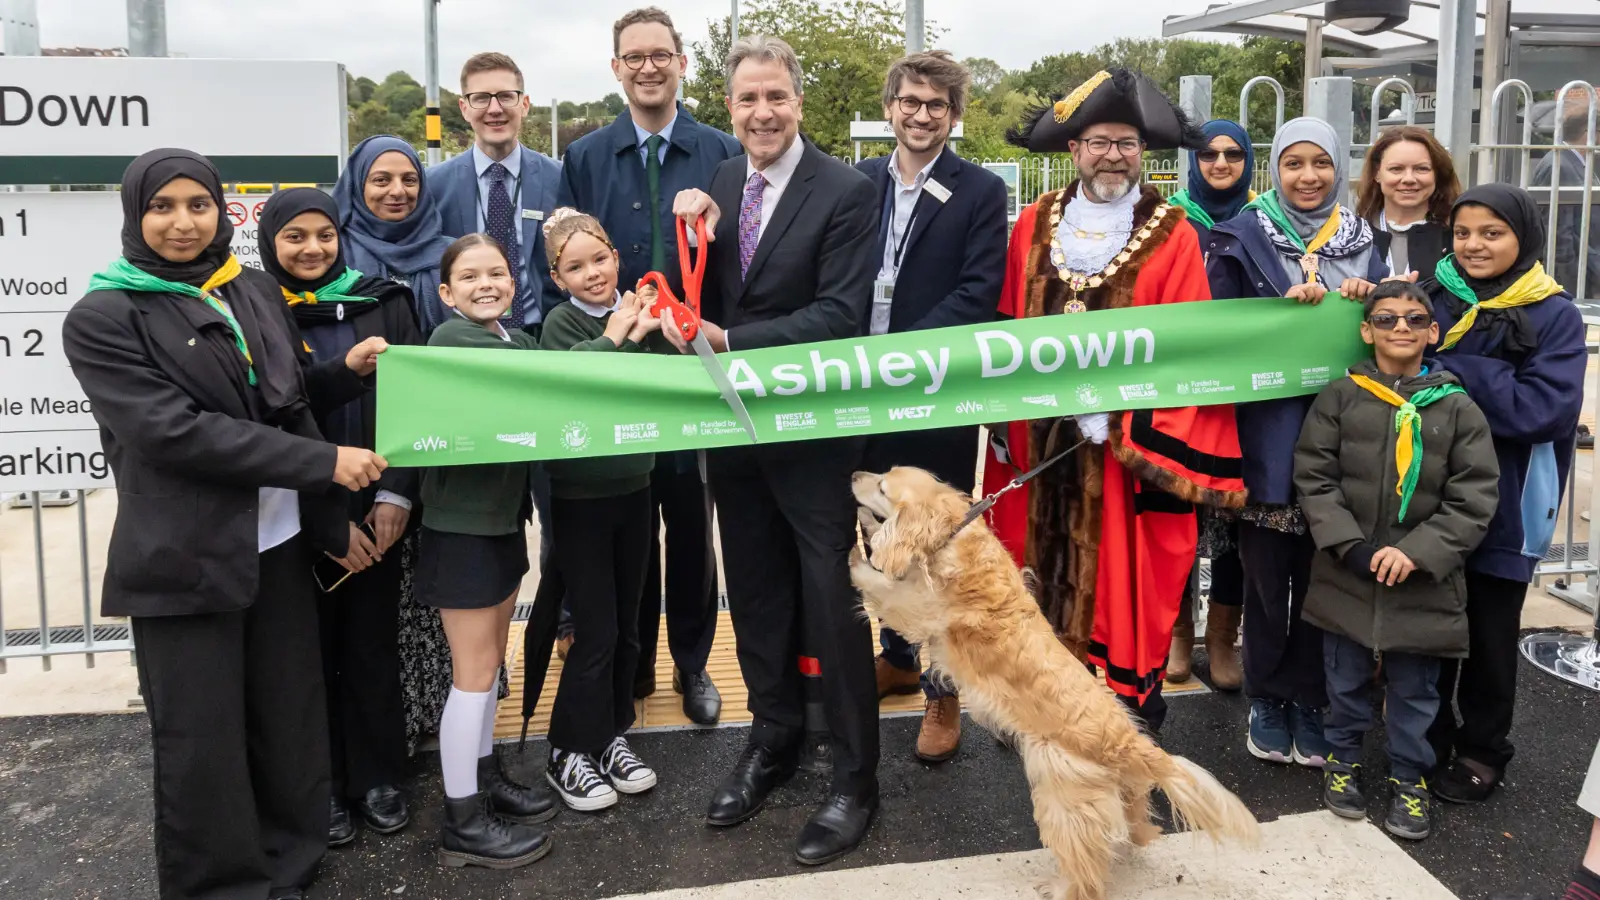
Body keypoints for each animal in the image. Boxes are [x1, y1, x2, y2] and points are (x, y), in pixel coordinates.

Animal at [851, 461, 1260, 896]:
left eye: (882, 486)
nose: (855, 473)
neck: (954, 534)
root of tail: (1131, 744)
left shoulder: (915, 606)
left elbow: (878, 580)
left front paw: (855, 555)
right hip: (1123, 790)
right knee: (1135, 825)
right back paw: (1135, 837)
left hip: (1062, 796)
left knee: (1086, 865)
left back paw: (1062, 888)